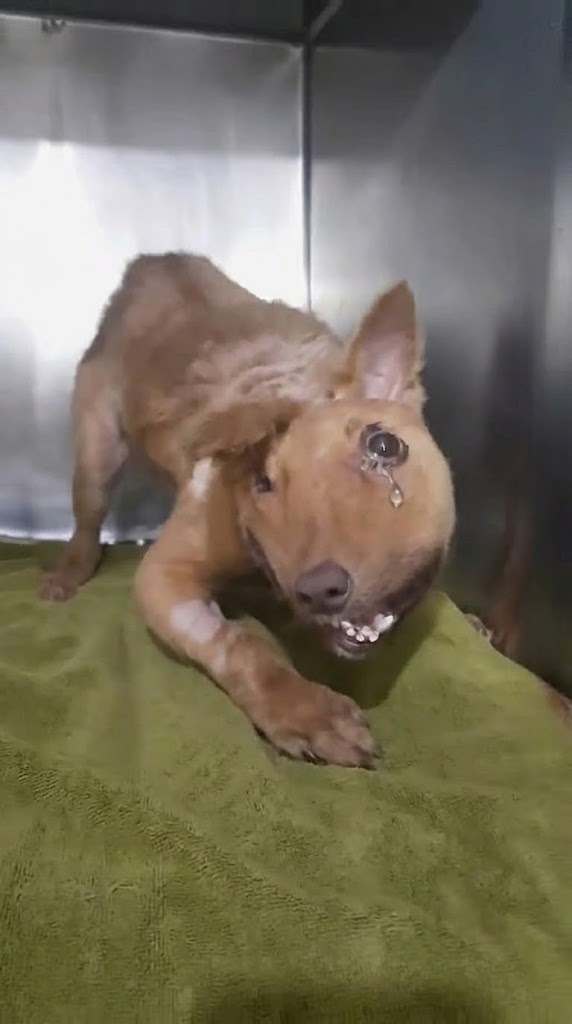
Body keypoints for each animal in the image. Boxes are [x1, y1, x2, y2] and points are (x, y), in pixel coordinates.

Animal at [40, 253, 455, 768]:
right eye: (261, 480)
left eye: (385, 446)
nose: (320, 588)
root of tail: (152, 263)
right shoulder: (163, 576)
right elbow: (240, 644)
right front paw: (306, 713)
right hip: (98, 445)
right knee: (88, 516)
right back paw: (68, 573)